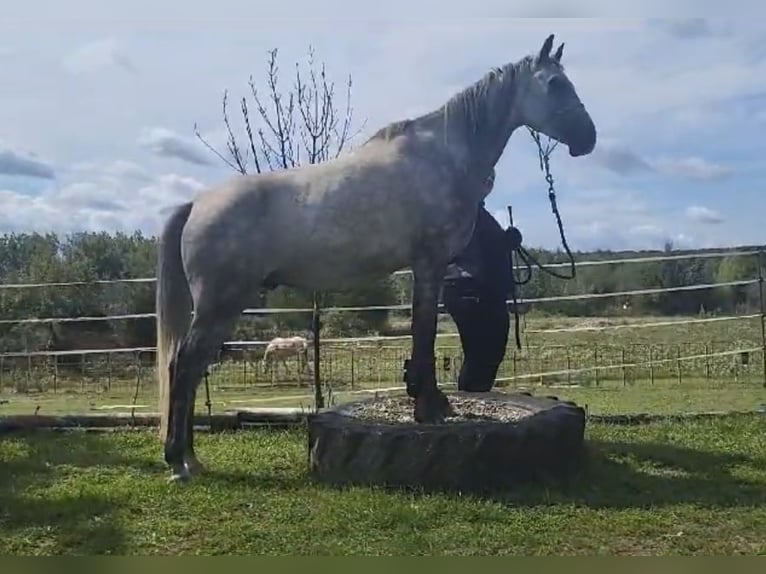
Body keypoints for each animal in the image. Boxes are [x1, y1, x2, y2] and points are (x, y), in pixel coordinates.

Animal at [156, 33, 600, 484]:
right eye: (554, 84)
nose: (588, 138)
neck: (442, 156)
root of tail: (197, 203)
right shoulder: (429, 262)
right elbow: (424, 333)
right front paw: (429, 408)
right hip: (219, 303)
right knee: (184, 366)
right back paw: (179, 461)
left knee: (190, 369)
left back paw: (190, 459)